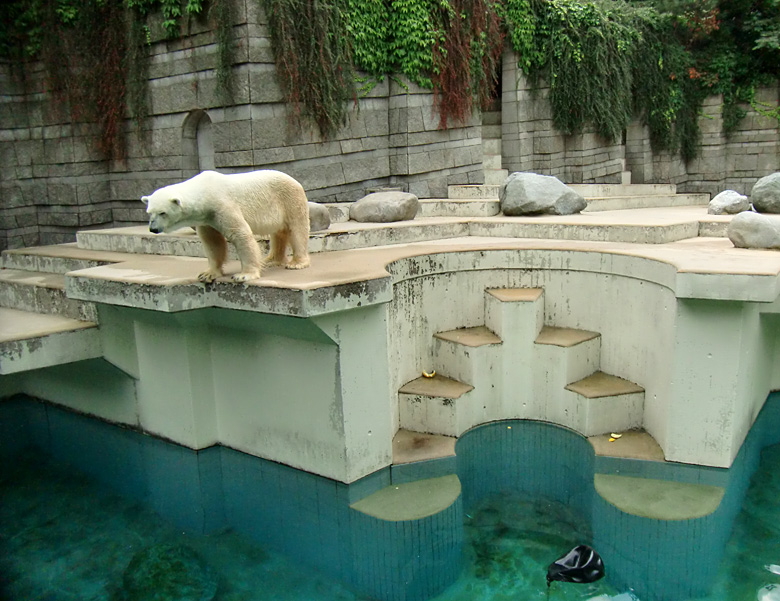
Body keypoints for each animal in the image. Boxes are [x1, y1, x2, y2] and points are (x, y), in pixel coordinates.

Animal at [140, 169, 310, 282]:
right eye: (149, 212)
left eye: (162, 213)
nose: (153, 229)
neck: (204, 192)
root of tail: (295, 180)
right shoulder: (206, 218)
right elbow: (212, 242)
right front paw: (207, 274)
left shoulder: (222, 206)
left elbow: (240, 234)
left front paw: (244, 275)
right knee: (278, 233)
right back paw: (271, 260)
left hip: (289, 200)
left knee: (297, 230)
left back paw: (296, 263)